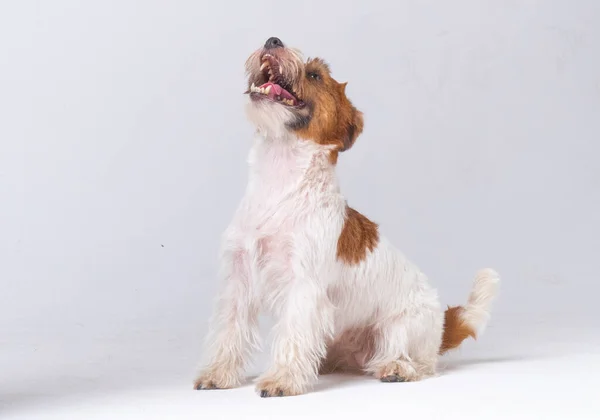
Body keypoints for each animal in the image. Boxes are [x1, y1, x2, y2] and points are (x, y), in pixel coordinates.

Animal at [195, 36, 500, 398]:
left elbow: (293, 334)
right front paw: (218, 372)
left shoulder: (303, 286)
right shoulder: (238, 280)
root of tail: (442, 325)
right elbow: (229, 330)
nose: (273, 40)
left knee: (418, 361)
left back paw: (397, 368)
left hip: (401, 325)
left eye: (314, 75)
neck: (278, 183)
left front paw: (282, 378)